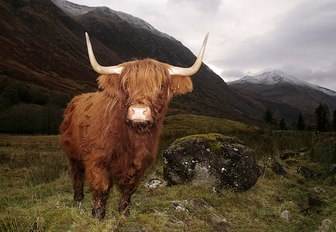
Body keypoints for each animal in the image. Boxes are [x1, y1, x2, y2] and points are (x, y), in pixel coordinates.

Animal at [59, 32, 209, 219]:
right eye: (125, 85)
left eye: (161, 86)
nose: (138, 111)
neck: (132, 138)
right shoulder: (97, 159)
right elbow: (101, 188)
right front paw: (97, 216)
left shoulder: (140, 163)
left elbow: (128, 189)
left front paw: (124, 213)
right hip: (73, 152)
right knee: (77, 174)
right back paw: (78, 200)